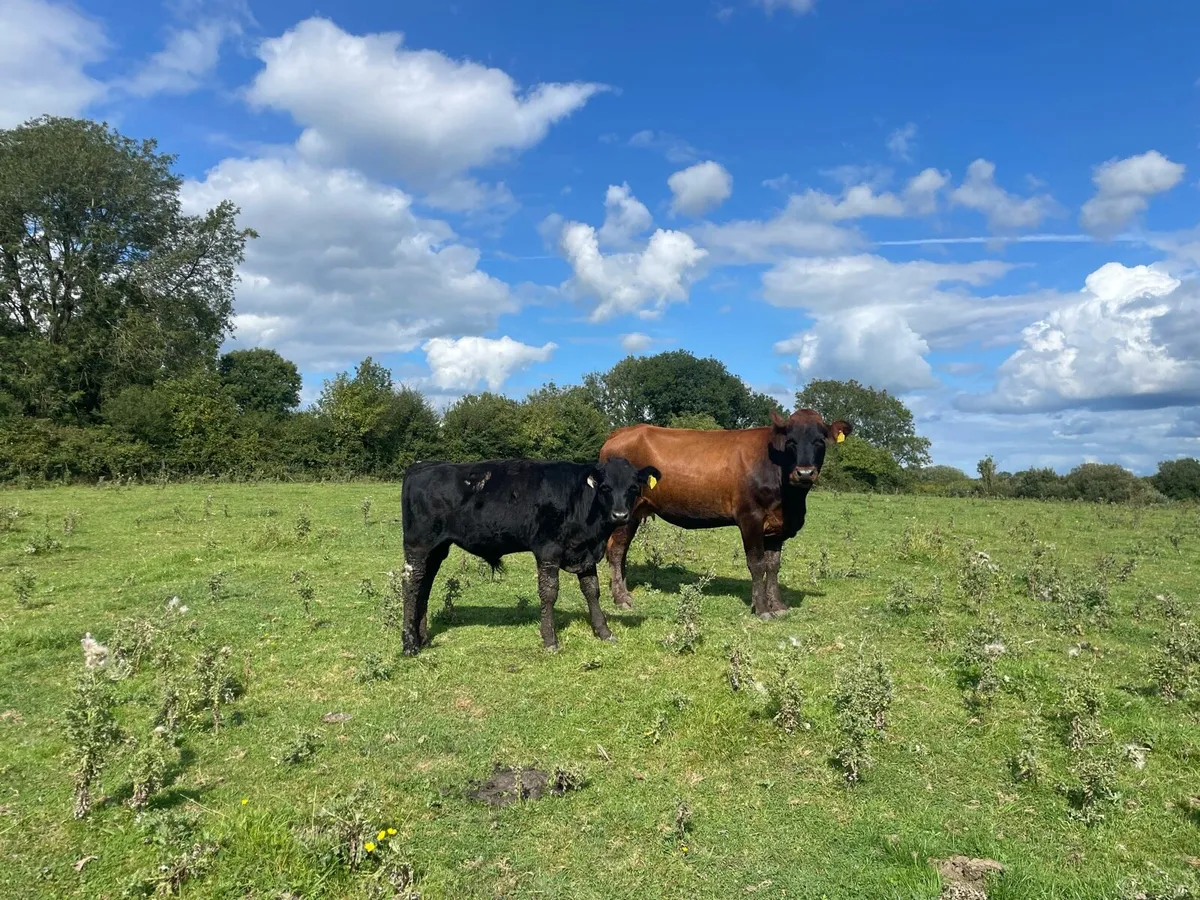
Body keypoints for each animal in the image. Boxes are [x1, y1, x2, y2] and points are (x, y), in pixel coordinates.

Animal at [400, 457, 661, 655]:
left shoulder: (585, 553)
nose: (620, 515)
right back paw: (410, 644)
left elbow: (591, 591)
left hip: (436, 550)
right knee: (411, 586)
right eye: (605, 487)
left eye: (633, 488)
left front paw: (604, 632)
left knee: (425, 586)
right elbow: (549, 593)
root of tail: (423, 466)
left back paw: (422, 638)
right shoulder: (548, 550)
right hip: (418, 545)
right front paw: (550, 640)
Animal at [599, 408, 852, 620]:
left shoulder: (777, 526)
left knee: (621, 551)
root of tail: (622, 432)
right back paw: (621, 598)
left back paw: (623, 592)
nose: (804, 473)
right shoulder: (750, 517)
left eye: (820, 440)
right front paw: (762, 609)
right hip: (625, 511)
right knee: (616, 551)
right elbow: (757, 564)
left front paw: (778, 605)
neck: (790, 502)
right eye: (791, 441)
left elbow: (773, 565)